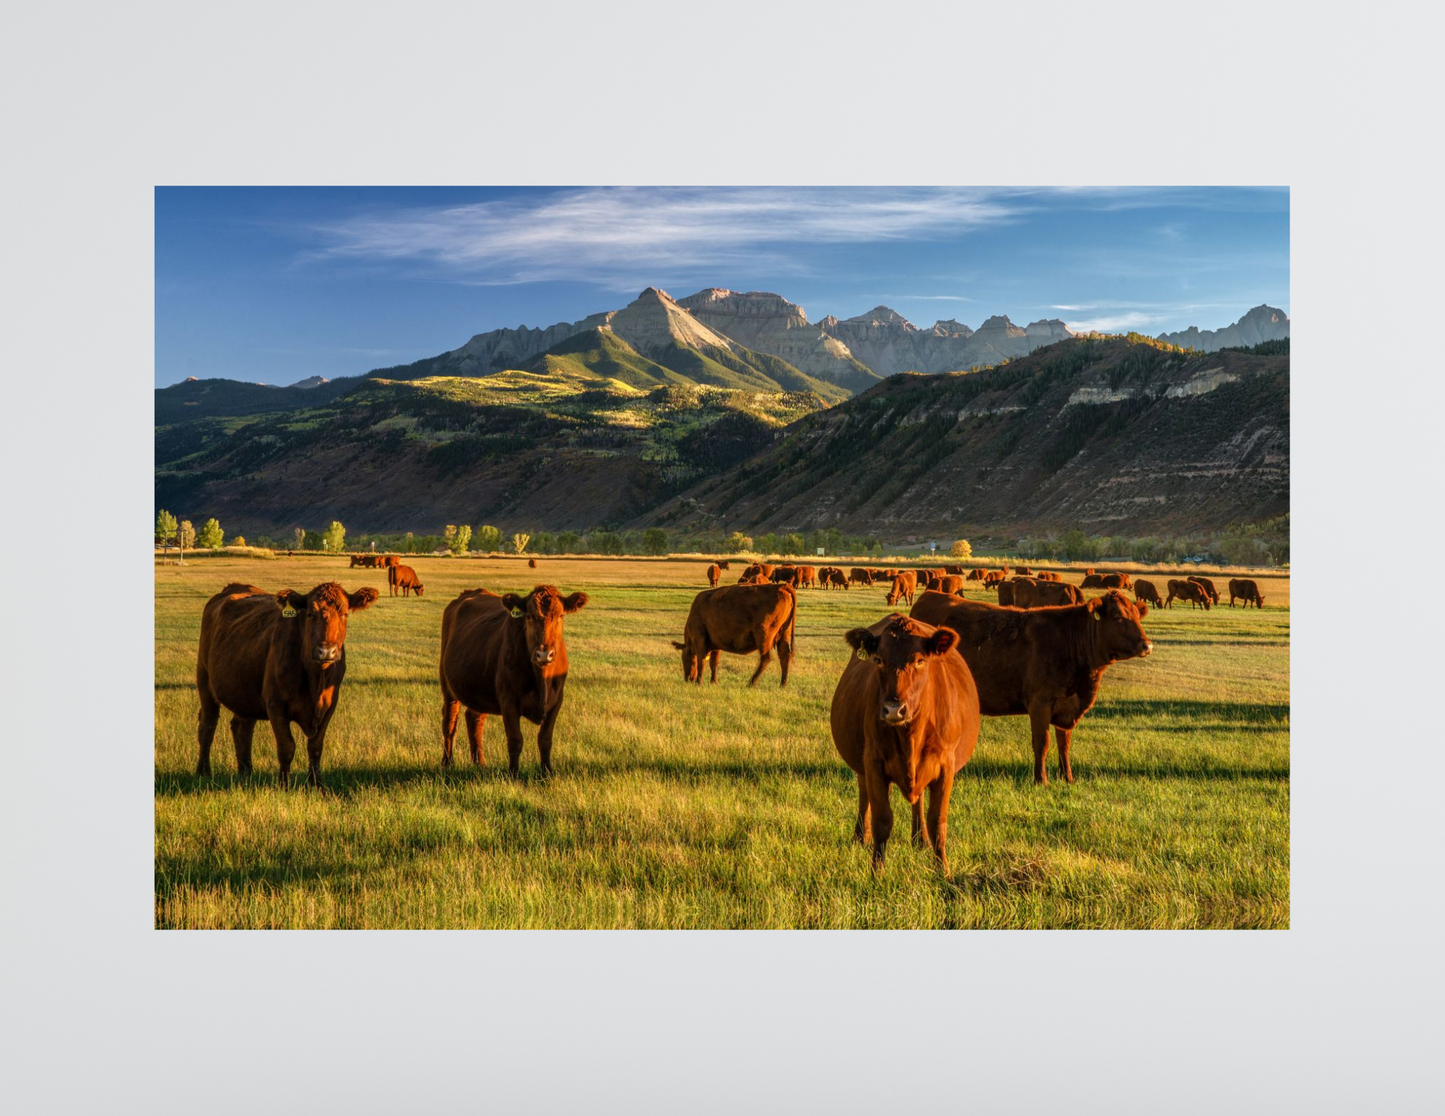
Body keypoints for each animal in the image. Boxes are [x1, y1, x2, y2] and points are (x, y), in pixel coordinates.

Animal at [195, 581, 378, 787]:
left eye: (345, 614)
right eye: (310, 614)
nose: (326, 651)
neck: (315, 679)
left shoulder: (330, 705)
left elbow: (315, 746)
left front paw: (316, 784)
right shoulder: (276, 705)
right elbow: (286, 746)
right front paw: (284, 784)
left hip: (245, 692)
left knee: (242, 728)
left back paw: (246, 772)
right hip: (205, 680)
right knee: (208, 725)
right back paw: (203, 771)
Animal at [439, 585, 588, 774]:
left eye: (561, 615)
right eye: (529, 616)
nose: (543, 654)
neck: (542, 679)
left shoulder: (556, 701)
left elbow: (545, 740)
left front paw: (547, 772)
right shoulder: (508, 701)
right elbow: (515, 740)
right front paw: (514, 773)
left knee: (474, 718)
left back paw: (480, 762)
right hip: (447, 685)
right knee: (450, 722)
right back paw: (447, 762)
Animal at [830, 614, 980, 873]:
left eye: (920, 660)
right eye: (879, 659)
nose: (893, 709)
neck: (911, 734)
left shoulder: (946, 764)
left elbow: (937, 820)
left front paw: (943, 870)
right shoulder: (873, 761)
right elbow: (882, 819)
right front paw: (877, 871)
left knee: (918, 802)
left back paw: (920, 840)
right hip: (862, 764)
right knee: (864, 795)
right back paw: (860, 836)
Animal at [910, 589, 1153, 784]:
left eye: (1137, 615)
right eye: (1118, 616)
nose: (1147, 645)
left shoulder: (1066, 706)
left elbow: (1064, 743)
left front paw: (1067, 777)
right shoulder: (1040, 703)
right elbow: (1042, 742)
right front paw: (1041, 780)